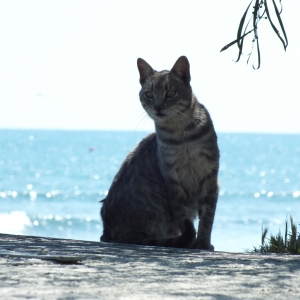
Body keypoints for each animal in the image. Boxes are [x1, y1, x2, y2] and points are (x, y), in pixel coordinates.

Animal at [99, 56, 219, 251]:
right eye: (149, 94)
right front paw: (192, 240)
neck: (181, 135)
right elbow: (184, 217)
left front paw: (202, 242)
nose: (157, 106)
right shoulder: (173, 180)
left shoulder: (210, 178)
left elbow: (207, 218)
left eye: (170, 93)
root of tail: (107, 233)